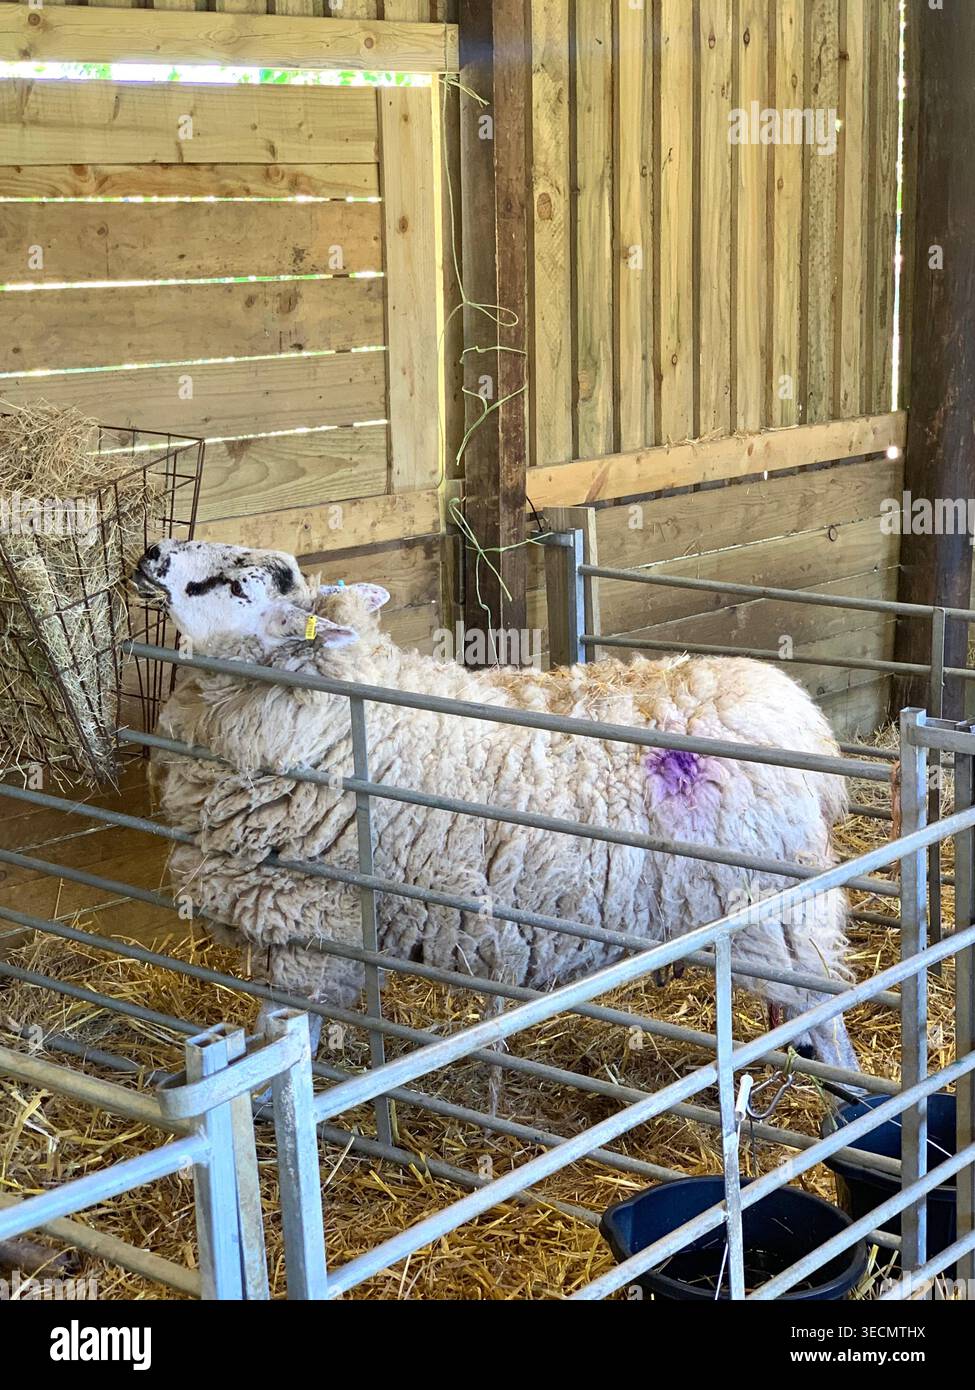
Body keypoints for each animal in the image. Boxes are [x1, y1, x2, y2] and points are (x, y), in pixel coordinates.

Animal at [133, 538, 859, 1073]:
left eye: (235, 586)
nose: (151, 552)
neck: (332, 716)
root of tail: (801, 718)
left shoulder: (308, 930)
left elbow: (284, 1041)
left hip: (779, 916)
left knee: (830, 1021)